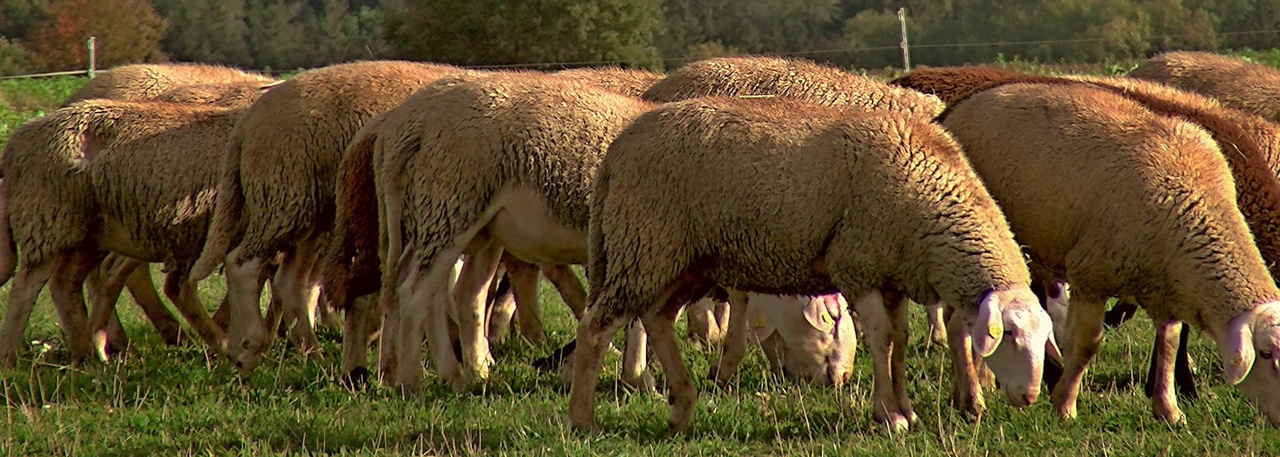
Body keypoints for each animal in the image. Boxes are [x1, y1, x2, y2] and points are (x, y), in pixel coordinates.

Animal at [0, 99, 248, 363]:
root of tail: (18, 140)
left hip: (90, 236)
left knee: (65, 285)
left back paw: (88, 358)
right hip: (48, 220)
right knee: (26, 287)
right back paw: (10, 359)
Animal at [186, 59, 468, 373]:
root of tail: (248, 120)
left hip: (310, 212)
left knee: (289, 284)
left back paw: (306, 353)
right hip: (283, 196)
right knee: (242, 264)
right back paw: (251, 347)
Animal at [570, 95, 1059, 430]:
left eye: (1044, 337)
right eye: (1007, 334)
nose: (1031, 397)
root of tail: (620, 145)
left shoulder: (891, 274)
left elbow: (900, 341)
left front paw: (904, 407)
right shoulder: (858, 266)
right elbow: (882, 340)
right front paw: (890, 415)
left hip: (681, 260)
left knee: (657, 318)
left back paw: (683, 408)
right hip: (645, 245)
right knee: (596, 327)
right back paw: (582, 420)